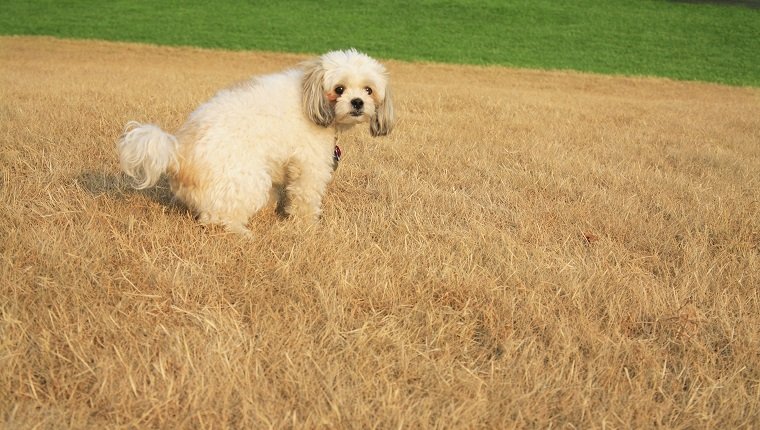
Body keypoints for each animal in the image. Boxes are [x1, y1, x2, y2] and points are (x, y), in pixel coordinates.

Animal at [119, 49, 394, 235]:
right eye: (339, 89)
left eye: (368, 90)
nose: (357, 102)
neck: (309, 94)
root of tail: (177, 152)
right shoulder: (309, 165)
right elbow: (305, 199)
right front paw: (308, 226)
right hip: (247, 180)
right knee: (216, 219)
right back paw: (241, 232)